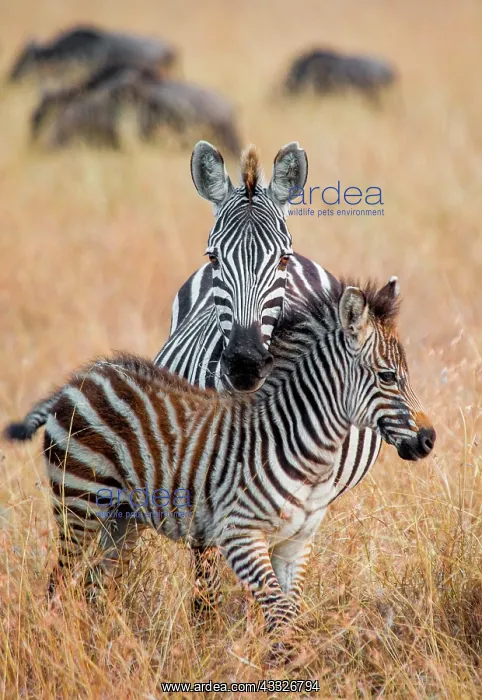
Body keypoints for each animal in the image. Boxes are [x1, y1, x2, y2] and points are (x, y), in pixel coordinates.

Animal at [3, 278, 436, 636]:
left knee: (94, 584)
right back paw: (57, 644)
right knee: (59, 582)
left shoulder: (296, 543)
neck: (303, 452)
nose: (429, 439)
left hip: (122, 520)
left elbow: (290, 614)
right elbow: (279, 612)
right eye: (387, 376)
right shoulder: (239, 533)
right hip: (79, 502)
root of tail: (82, 378)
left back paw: (97, 648)